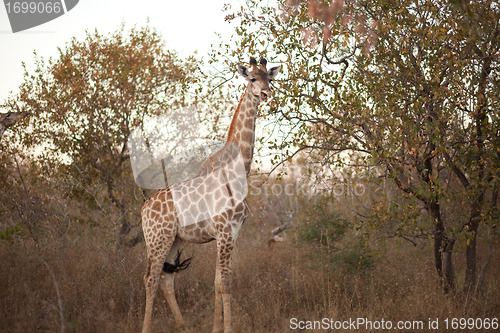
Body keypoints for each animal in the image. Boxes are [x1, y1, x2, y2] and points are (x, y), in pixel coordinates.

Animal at [142, 57, 282, 332]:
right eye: (252, 79)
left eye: (269, 78)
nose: (266, 94)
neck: (238, 171)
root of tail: (143, 209)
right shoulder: (224, 231)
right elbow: (224, 283)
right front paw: (227, 328)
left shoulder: (231, 232)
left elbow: (218, 281)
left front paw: (216, 327)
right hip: (157, 239)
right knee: (150, 279)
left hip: (175, 240)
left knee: (165, 279)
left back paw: (183, 326)